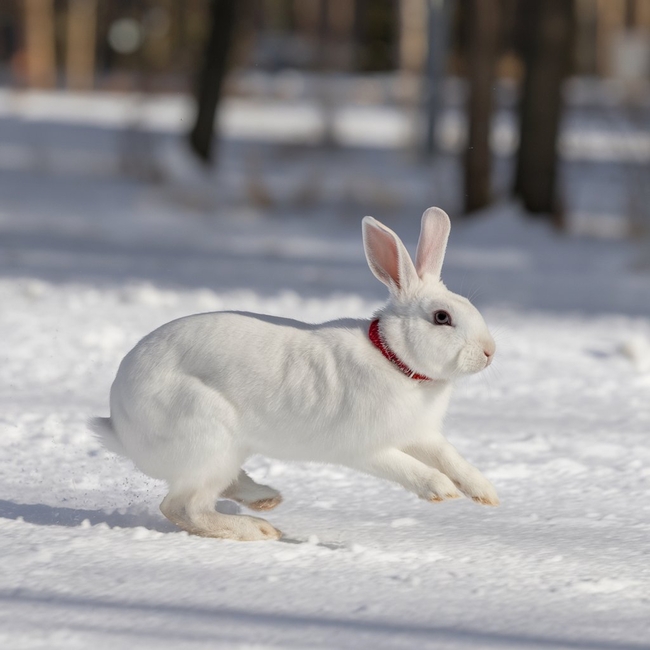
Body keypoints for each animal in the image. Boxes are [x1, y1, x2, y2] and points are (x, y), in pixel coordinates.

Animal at [91, 205, 496, 540]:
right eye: (441, 317)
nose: (490, 352)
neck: (394, 359)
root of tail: (121, 424)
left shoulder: (421, 435)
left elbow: (451, 458)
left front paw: (487, 494)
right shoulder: (364, 448)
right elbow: (409, 467)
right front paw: (441, 490)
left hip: (226, 450)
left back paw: (265, 498)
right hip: (207, 436)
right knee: (182, 507)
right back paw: (257, 529)